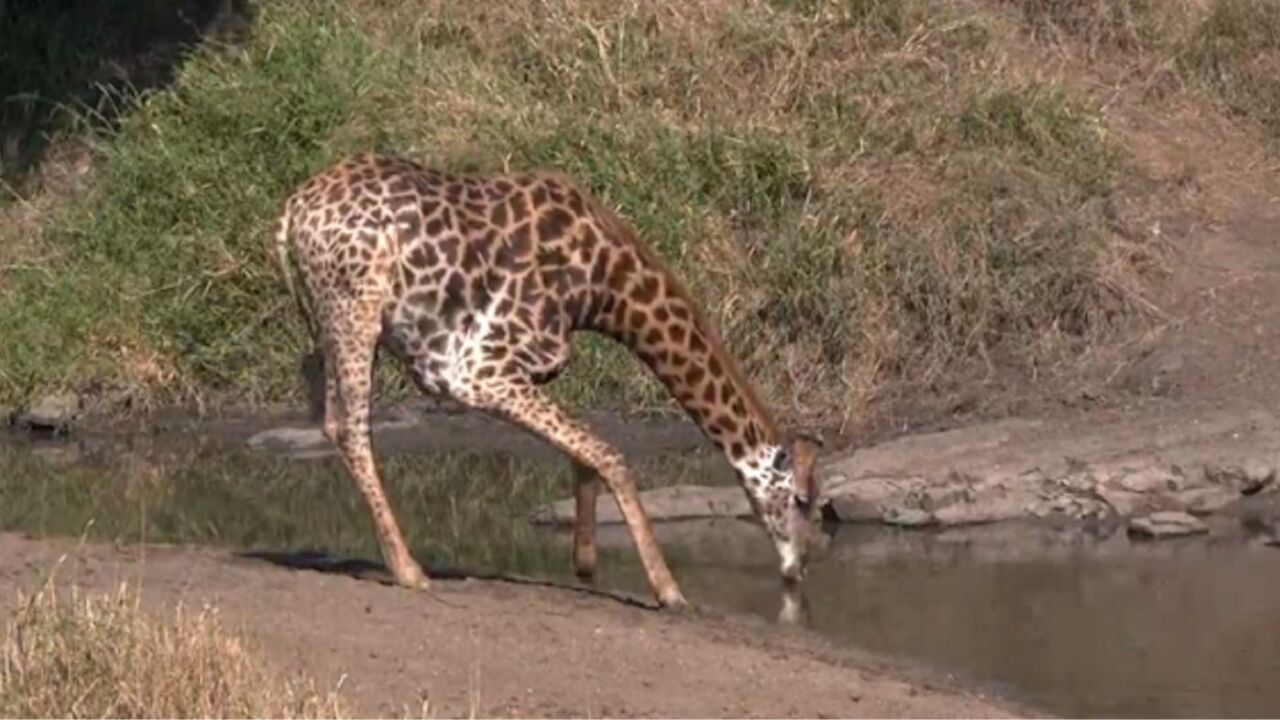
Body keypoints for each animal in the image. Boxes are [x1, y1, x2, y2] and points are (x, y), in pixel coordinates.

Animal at [275, 151, 824, 604]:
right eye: (801, 500)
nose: (798, 571)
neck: (604, 286)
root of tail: (291, 214)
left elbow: (584, 451)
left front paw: (585, 563)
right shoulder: (475, 371)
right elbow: (610, 454)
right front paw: (668, 589)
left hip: (328, 319)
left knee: (328, 415)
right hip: (356, 310)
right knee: (350, 427)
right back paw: (409, 571)